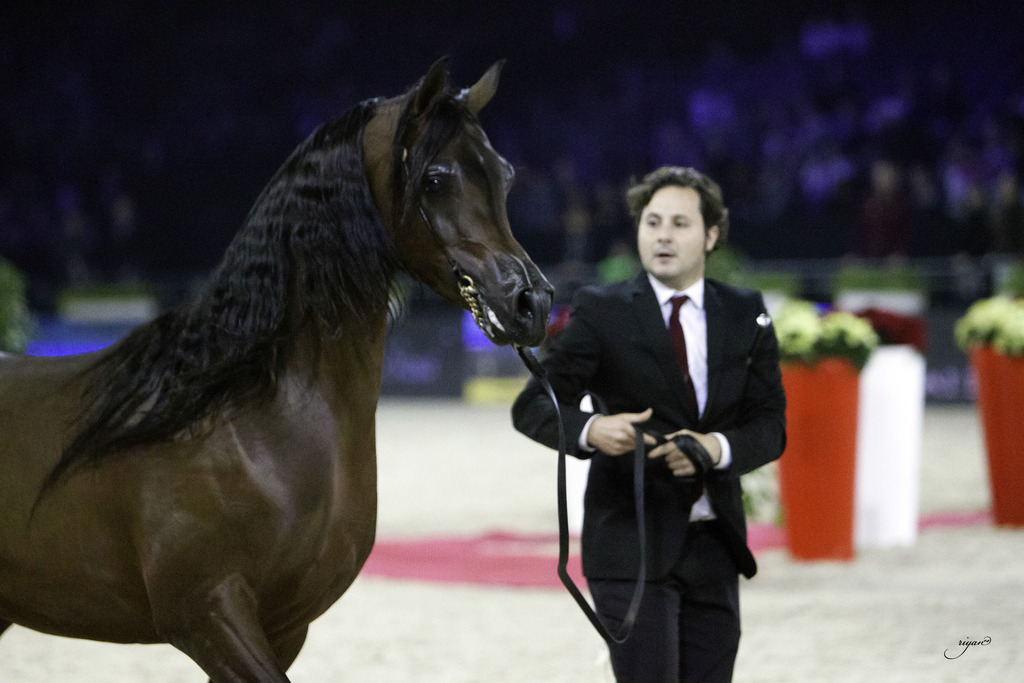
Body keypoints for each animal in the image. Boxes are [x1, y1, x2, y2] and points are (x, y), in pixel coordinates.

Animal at [0, 59, 553, 681]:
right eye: (435, 179)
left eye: (505, 175)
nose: (532, 303)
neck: (245, 418)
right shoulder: (207, 614)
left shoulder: (284, 626)